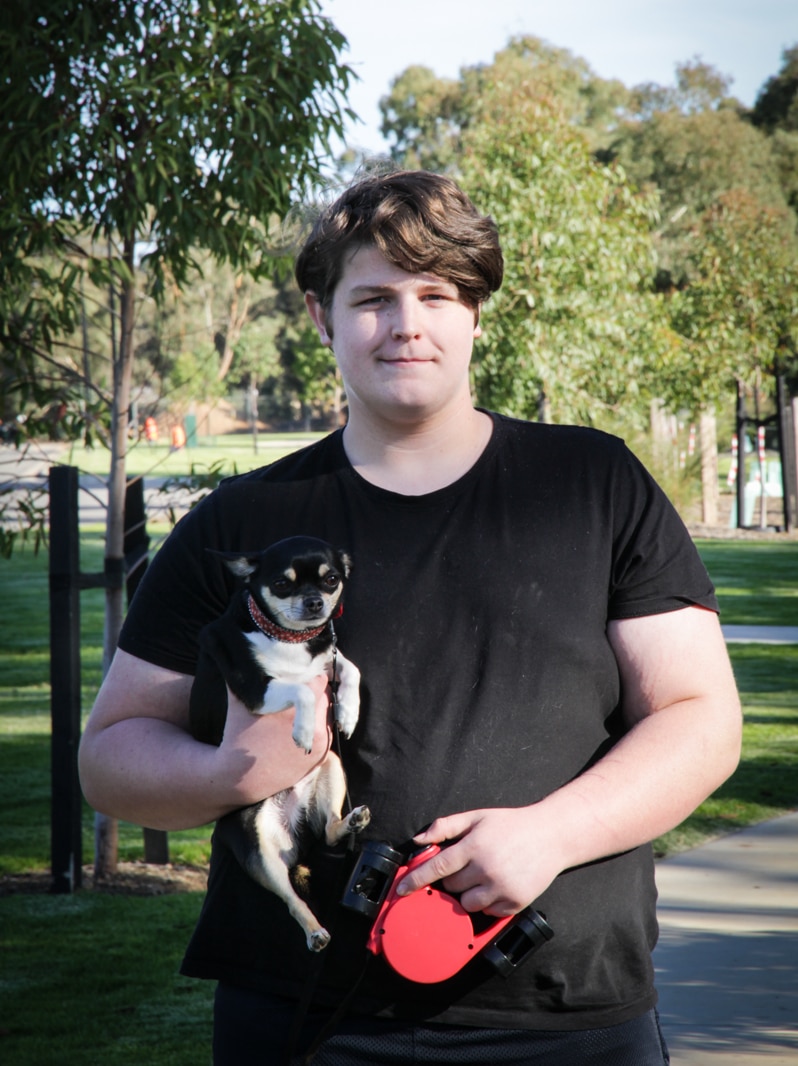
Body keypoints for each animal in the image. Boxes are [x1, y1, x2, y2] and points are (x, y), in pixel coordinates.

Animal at [189, 537, 370, 955]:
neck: (288, 638)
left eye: (331, 579)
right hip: (261, 856)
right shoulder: (255, 689)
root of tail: (294, 830)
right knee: (291, 900)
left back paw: (350, 821)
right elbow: (300, 688)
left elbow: (350, 668)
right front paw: (303, 730)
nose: (315, 602)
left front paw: (348, 712)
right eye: (282, 584)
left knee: (329, 831)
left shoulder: (328, 659)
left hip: (331, 764)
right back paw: (315, 932)